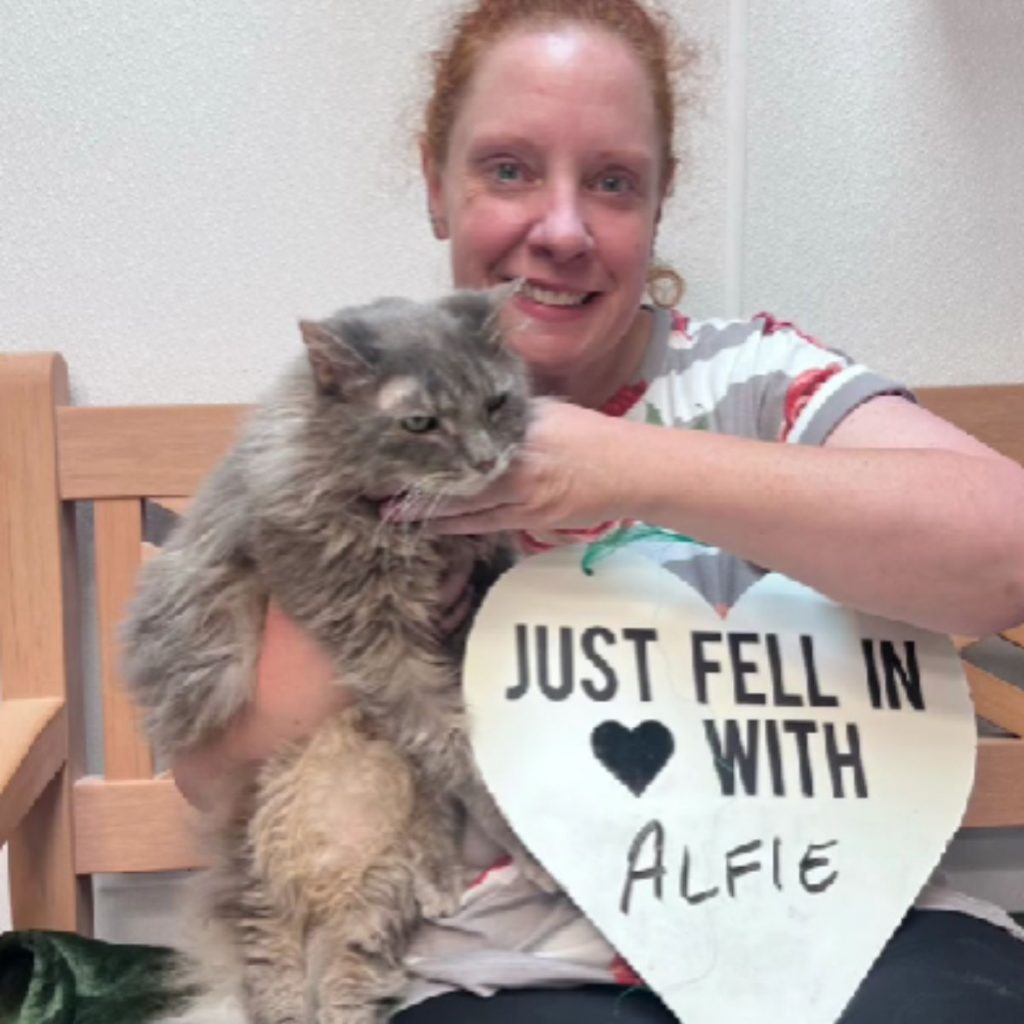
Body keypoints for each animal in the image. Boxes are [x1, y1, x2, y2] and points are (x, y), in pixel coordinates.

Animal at [123, 288, 548, 1024]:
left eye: (496, 403)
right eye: (420, 422)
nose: (486, 461)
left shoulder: (457, 617)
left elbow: (444, 771)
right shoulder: (377, 644)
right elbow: (456, 759)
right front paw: (519, 842)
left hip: (364, 914)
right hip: (261, 890)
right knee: (278, 982)